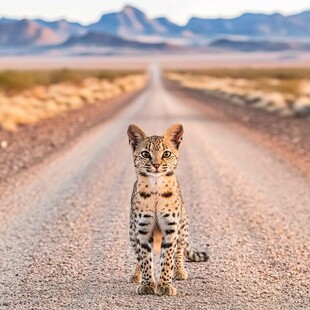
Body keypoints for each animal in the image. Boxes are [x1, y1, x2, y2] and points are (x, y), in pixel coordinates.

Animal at [127, 123, 209, 296]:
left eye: (166, 153)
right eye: (145, 154)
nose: (156, 165)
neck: (156, 187)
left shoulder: (171, 228)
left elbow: (167, 258)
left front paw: (165, 284)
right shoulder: (142, 229)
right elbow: (145, 258)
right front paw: (148, 284)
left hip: (182, 229)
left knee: (179, 252)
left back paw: (179, 271)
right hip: (132, 232)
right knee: (137, 256)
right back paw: (136, 275)